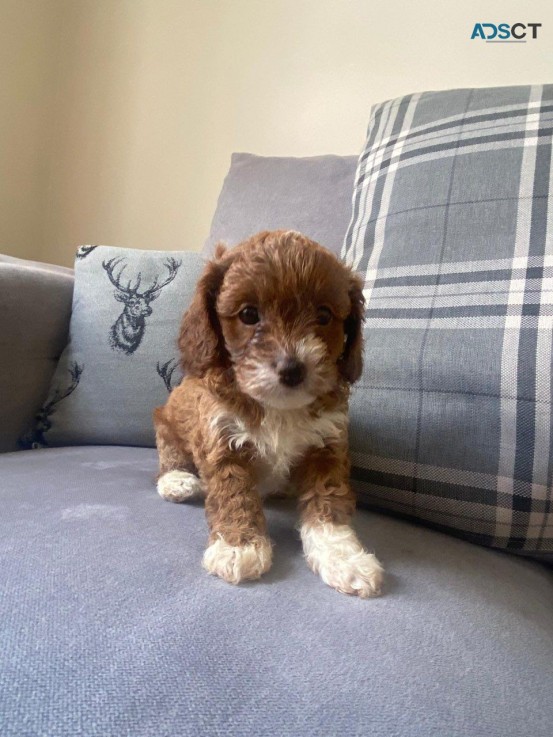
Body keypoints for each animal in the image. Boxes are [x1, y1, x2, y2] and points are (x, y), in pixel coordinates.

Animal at [153, 230, 382, 600]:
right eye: (248, 314)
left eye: (323, 316)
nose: (293, 369)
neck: (278, 407)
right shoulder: (221, 441)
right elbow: (233, 495)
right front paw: (238, 547)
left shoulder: (327, 446)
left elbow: (328, 503)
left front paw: (343, 557)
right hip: (166, 420)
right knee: (169, 452)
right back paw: (177, 480)